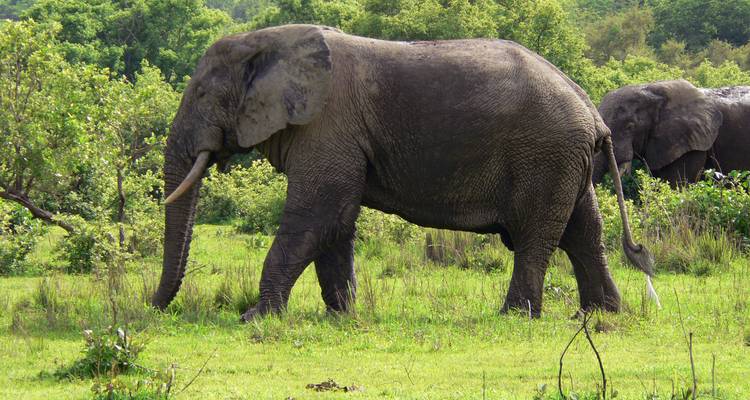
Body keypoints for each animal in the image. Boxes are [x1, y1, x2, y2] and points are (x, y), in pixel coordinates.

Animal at [152, 24, 656, 321]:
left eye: (201, 95)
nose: (153, 308)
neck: (267, 41)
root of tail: (593, 115)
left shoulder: (328, 125)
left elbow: (319, 212)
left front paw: (257, 319)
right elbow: (336, 221)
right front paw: (342, 319)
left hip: (545, 155)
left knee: (536, 235)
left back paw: (515, 316)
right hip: (566, 161)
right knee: (583, 232)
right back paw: (602, 316)